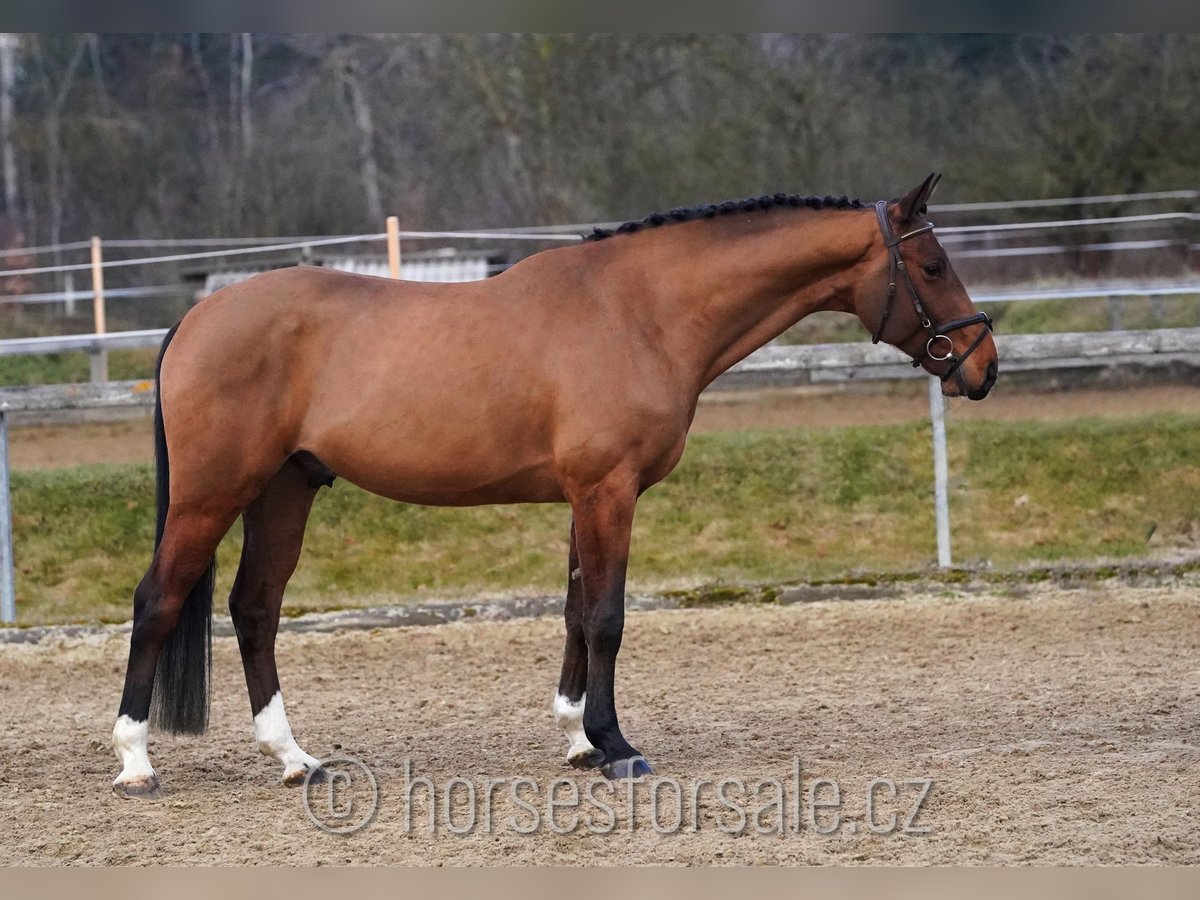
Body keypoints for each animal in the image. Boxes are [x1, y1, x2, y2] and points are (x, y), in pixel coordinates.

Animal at [112, 174, 993, 796]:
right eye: (932, 264)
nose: (983, 366)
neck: (640, 312)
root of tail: (198, 317)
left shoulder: (587, 498)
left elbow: (574, 612)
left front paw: (578, 739)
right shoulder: (608, 492)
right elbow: (607, 617)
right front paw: (618, 748)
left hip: (286, 489)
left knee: (254, 608)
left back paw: (295, 758)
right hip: (213, 493)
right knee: (159, 600)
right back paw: (136, 762)